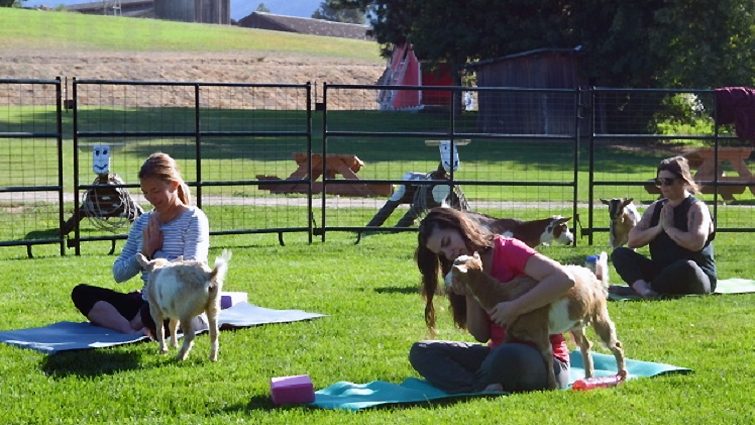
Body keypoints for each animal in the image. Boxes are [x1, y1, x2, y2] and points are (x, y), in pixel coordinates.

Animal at [446, 252, 628, 388]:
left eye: (453, 269)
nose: (446, 281)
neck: (502, 293)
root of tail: (595, 279)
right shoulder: (511, 332)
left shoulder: (539, 329)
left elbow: (547, 354)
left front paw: (552, 385)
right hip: (575, 322)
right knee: (585, 345)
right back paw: (589, 377)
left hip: (599, 313)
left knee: (615, 343)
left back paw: (621, 375)